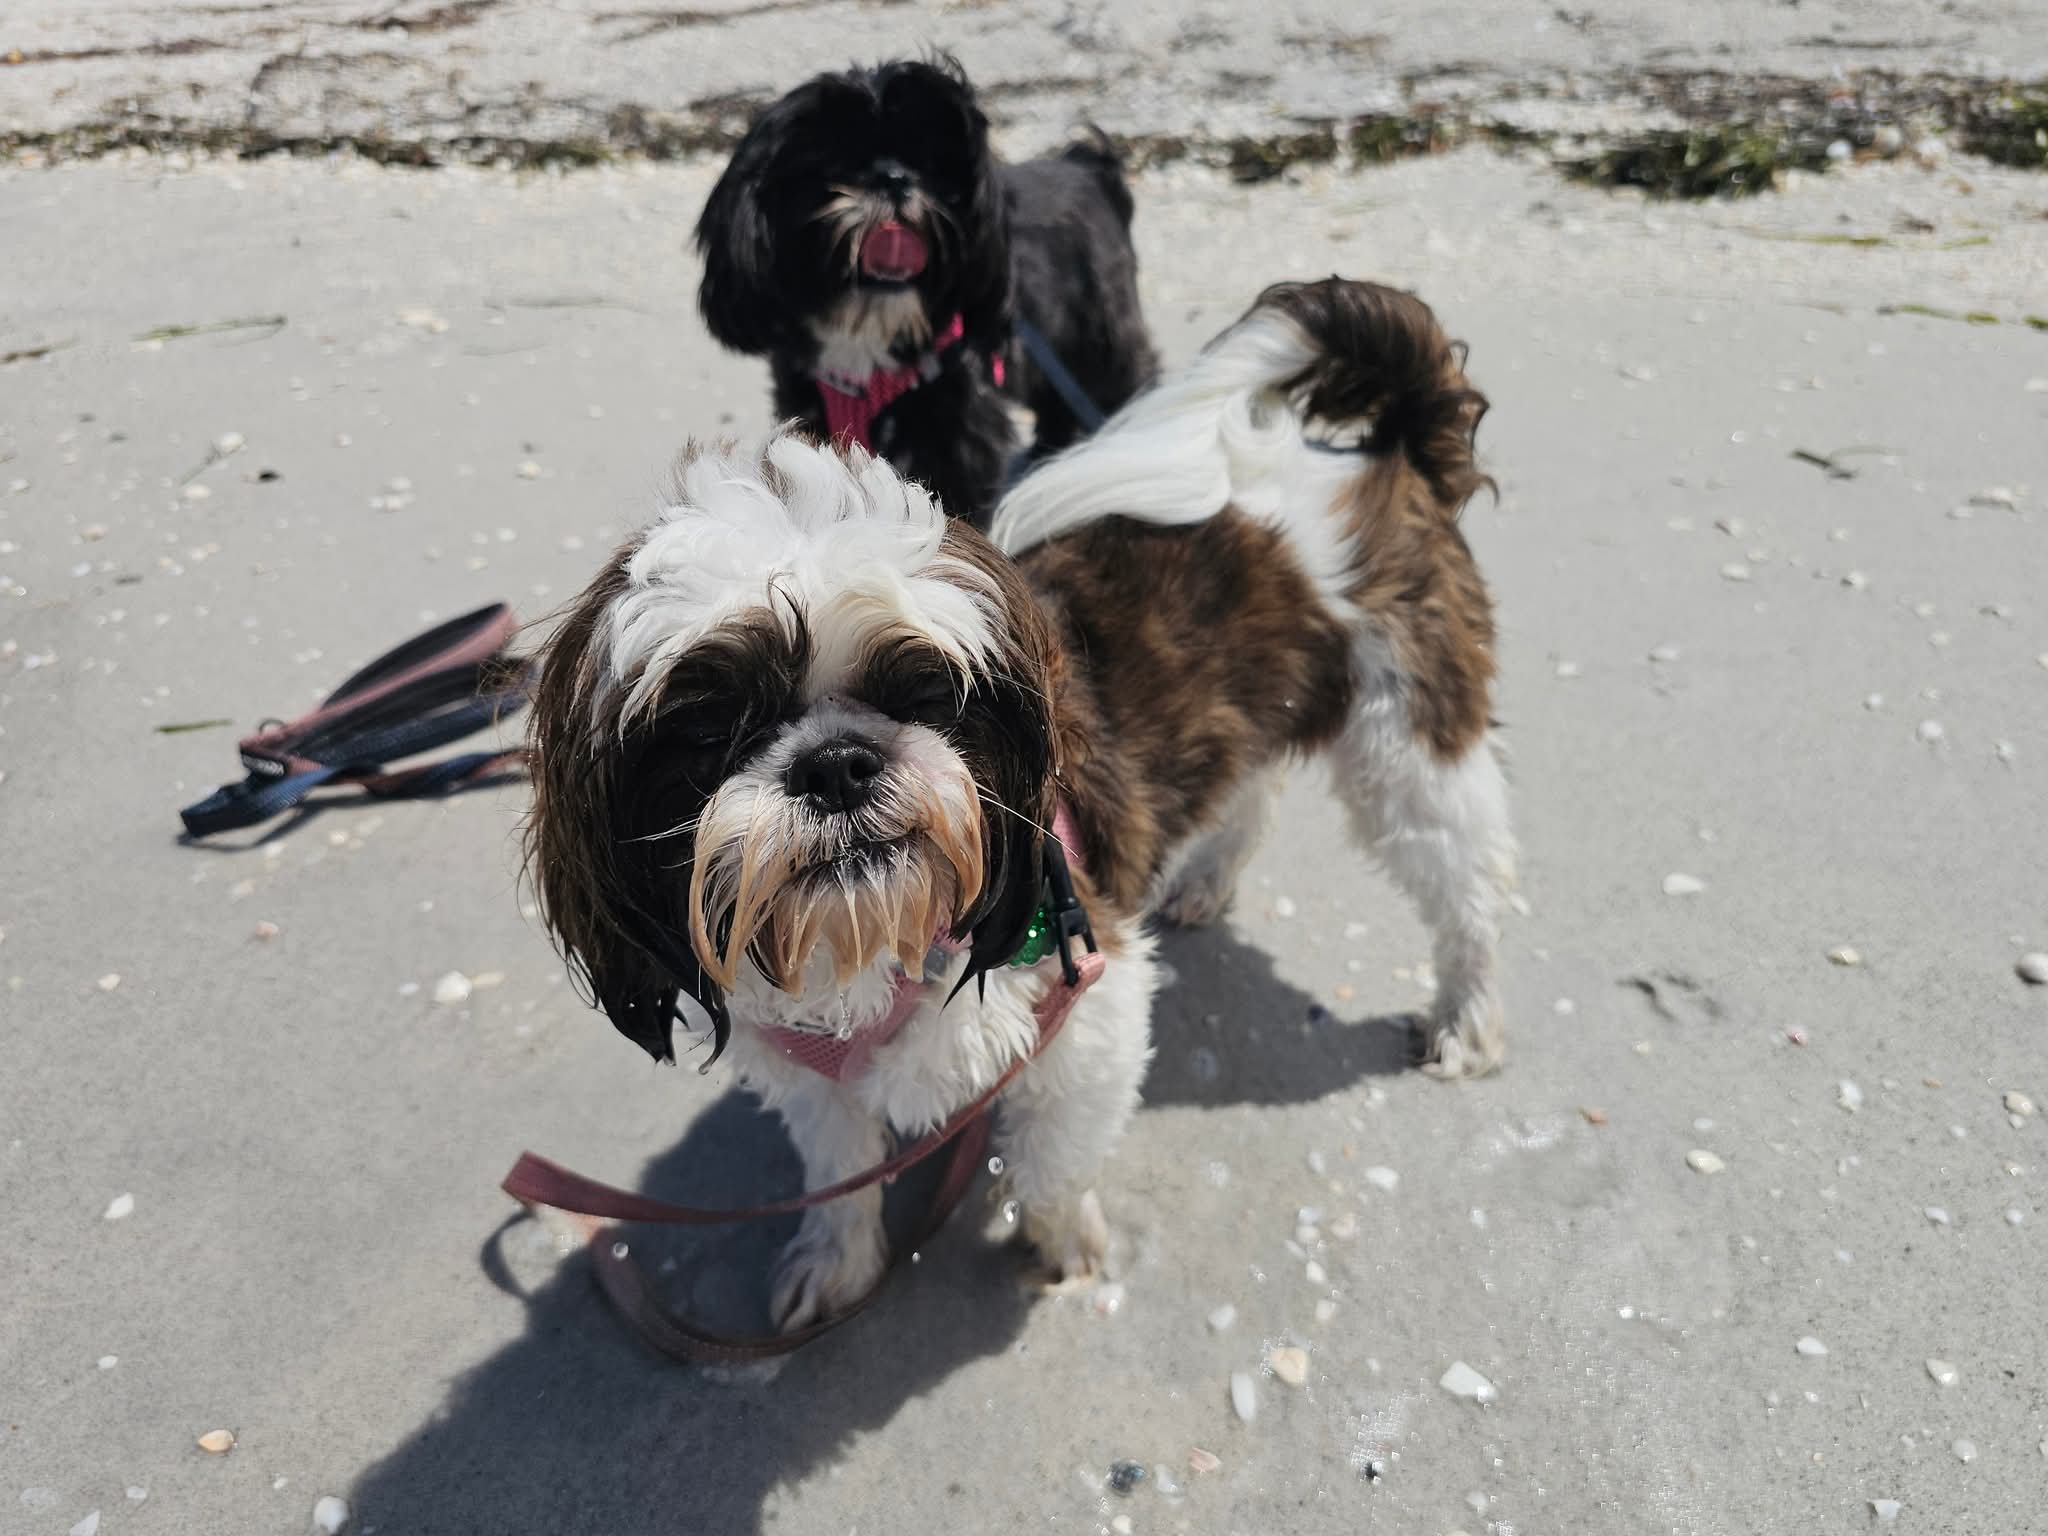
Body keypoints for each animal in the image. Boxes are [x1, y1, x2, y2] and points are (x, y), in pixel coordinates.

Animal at [525, 278, 1514, 1330]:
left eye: (922, 692)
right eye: (712, 730)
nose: (836, 763)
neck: (887, 946)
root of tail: (1385, 453)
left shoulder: (1086, 999)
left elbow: (1052, 1160)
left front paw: (1060, 1242)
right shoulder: (815, 1076)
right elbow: (840, 1169)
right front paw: (838, 1257)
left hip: (1410, 738)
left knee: (1464, 883)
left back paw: (1466, 1011)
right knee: (1250, 788)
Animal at [693, 56, 1158, 529]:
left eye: (933, 166)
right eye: (835, 161)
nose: (895, 177)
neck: (868, 338)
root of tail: (1087, 168)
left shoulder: (961, 440)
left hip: (1099, 335)